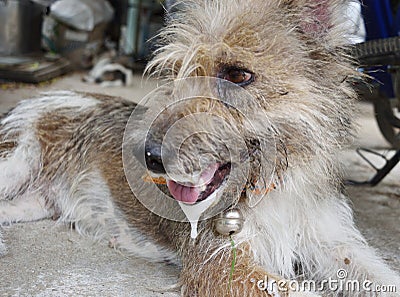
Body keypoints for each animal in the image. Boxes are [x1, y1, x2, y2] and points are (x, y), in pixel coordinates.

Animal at [0, 0, 400, 294]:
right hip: (15, 163)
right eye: (176, 71)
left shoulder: (335, 243)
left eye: (238, 75)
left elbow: (381, 277)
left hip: (31, 203)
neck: (274, 185)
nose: (149, 156)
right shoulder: (221, 265)